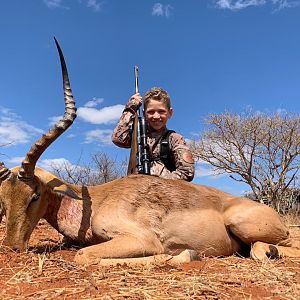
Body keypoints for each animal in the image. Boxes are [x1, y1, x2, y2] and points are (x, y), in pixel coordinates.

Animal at [0, 40, 300, 268]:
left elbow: (84, 256)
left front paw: (186, 253)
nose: (12, 248)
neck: (95, 200)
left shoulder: (141, 239)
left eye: (35, 195)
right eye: (3, 200)